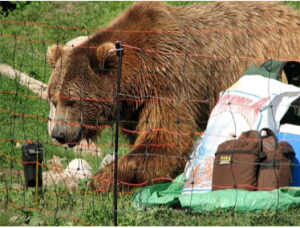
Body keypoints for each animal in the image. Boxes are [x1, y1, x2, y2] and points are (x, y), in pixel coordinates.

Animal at [47, 1, 300, 191]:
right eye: (53, 100)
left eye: (72, 100)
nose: (58, 133)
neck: (138, 75)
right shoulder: (138, 106)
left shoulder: (170, 82)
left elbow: (166, 138)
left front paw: (103, 179)